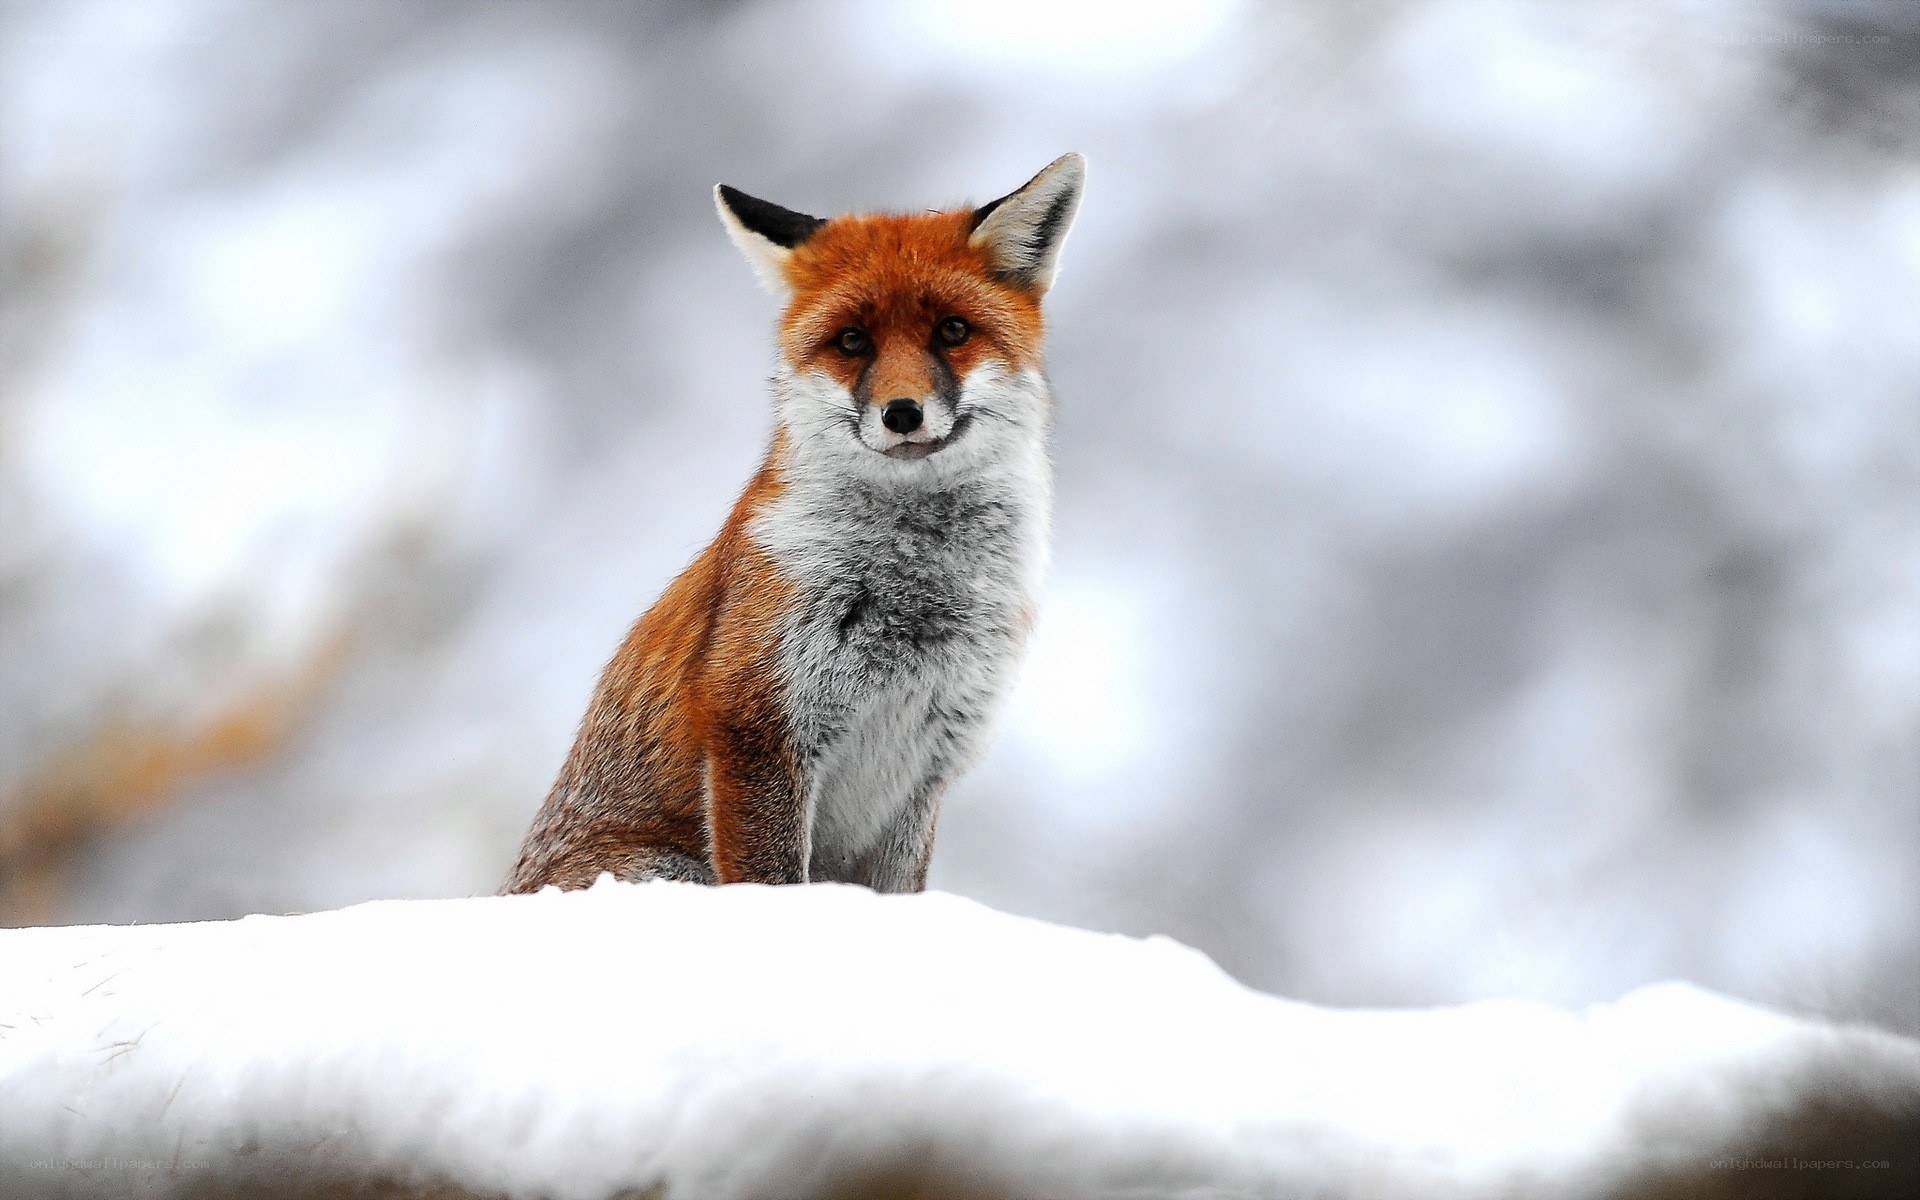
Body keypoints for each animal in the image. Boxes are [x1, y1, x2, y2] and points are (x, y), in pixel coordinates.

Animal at [503, 154, 1085, 894]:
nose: (902, 412)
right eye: (852, 341)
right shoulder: (759, 725)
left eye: (952, 331)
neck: (916, 591)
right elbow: (774, 880)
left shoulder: (926, 766)